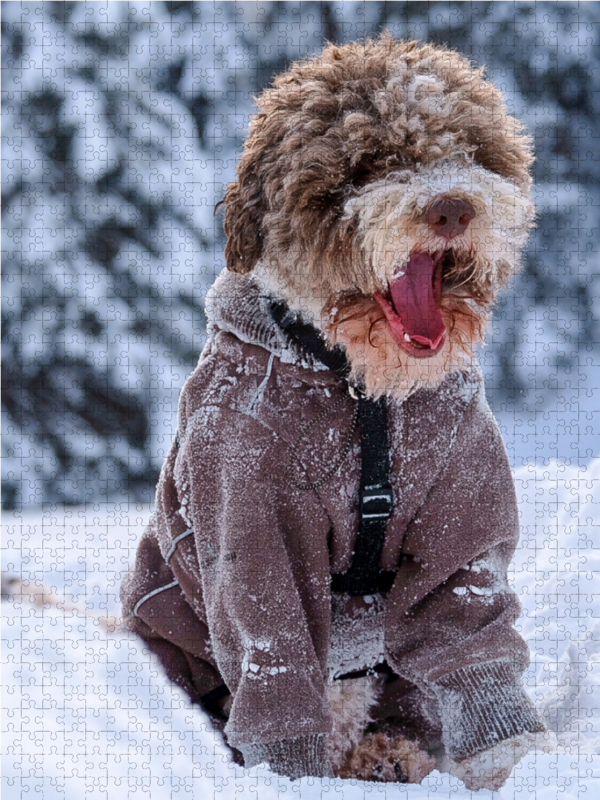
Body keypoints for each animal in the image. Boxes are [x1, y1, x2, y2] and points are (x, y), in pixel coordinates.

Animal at [123, 34, 552, 792]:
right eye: (368, 165)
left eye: (469, 151)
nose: (450, 208)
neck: (363, 390)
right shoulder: (249, 507)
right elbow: (276, 657)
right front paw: (294, 776)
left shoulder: (461, 495)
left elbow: (467, 628)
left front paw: (516, 760)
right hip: (168, 643)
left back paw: (390, 752)